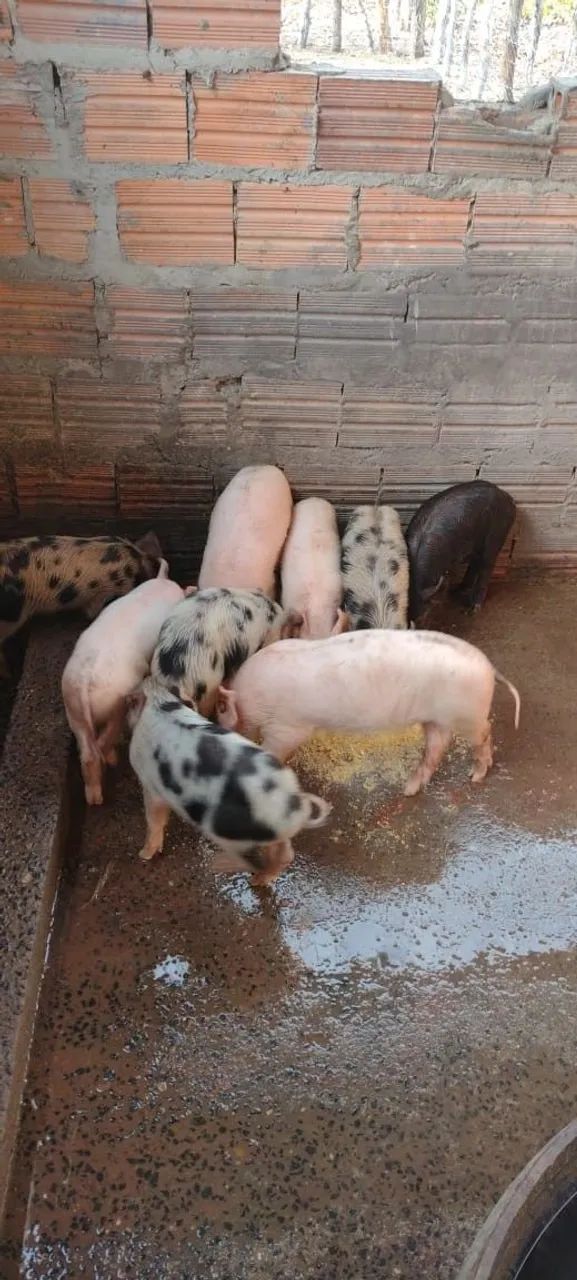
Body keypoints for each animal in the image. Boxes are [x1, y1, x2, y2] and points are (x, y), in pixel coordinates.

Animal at [62, 575, 184, 806]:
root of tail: (85, 679)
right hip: (114, 704)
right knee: (102, 742)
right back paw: (111, 763)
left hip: (74, 710)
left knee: (88, 752)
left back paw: (94, 799)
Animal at [128, 678, 332, 885]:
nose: (146, 679)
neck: (160, 703)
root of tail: (293, 805)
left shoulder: (150, 784)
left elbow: (154, 821)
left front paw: (143, 855)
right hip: (271, 834)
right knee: (285, 854)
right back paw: (259, 880)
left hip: (235, 834)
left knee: (253, 858)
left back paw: (223, 867)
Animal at [216, 629, 520, 797]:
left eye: (222, 713)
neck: (252, 702)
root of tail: (488, 666)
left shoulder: (288, 727)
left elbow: (274, 749)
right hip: (436, 719)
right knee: (437, 747)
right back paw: (409, 790)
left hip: (468, 716)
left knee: (484, 734)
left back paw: (476, 776)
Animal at [405, 480, 516, 623]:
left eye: (423, 617)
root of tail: (507, 497)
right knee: (475, 563)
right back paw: (458, 590)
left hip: (497, 534)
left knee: (486, 566)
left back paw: (472, 609)